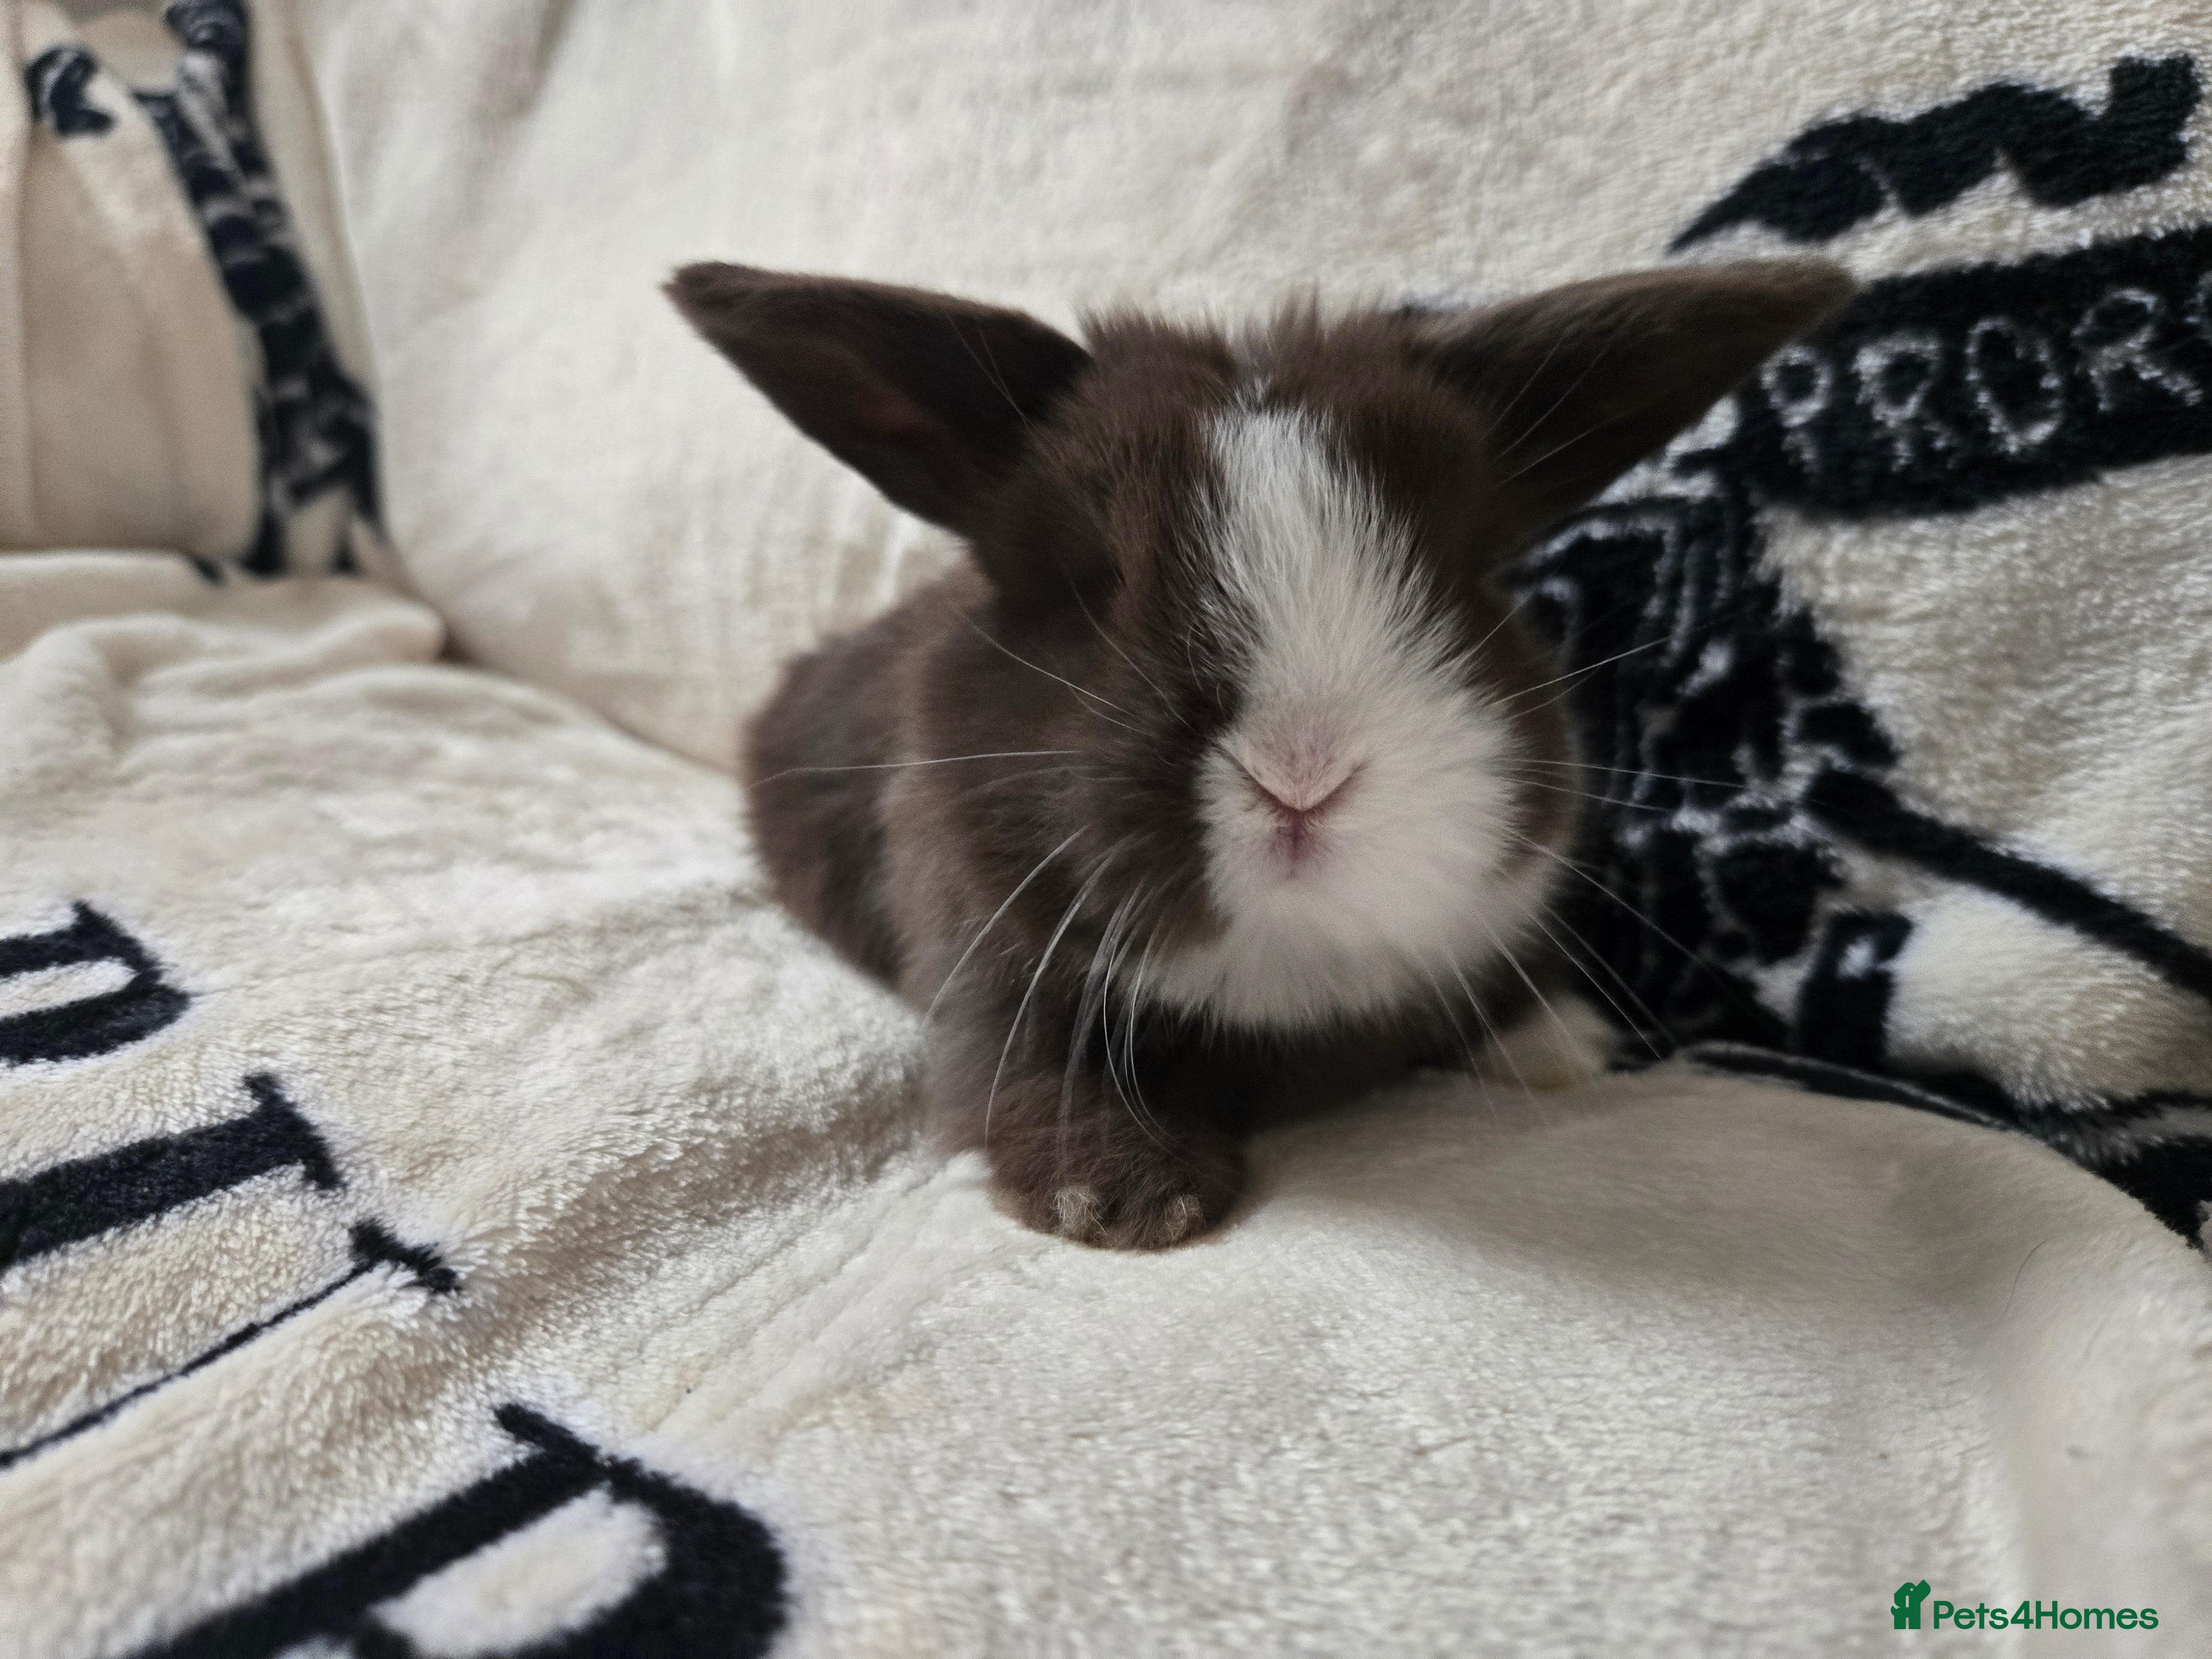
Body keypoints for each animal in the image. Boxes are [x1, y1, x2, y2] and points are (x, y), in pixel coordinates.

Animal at [668, 257, 1853, 1249]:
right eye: (1091, 580)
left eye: (1461, 572)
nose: (1303, 775)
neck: (1292, 960)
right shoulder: (993, 973)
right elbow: (1030, 1072)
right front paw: (1121, 1200)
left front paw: (1560, 1046)